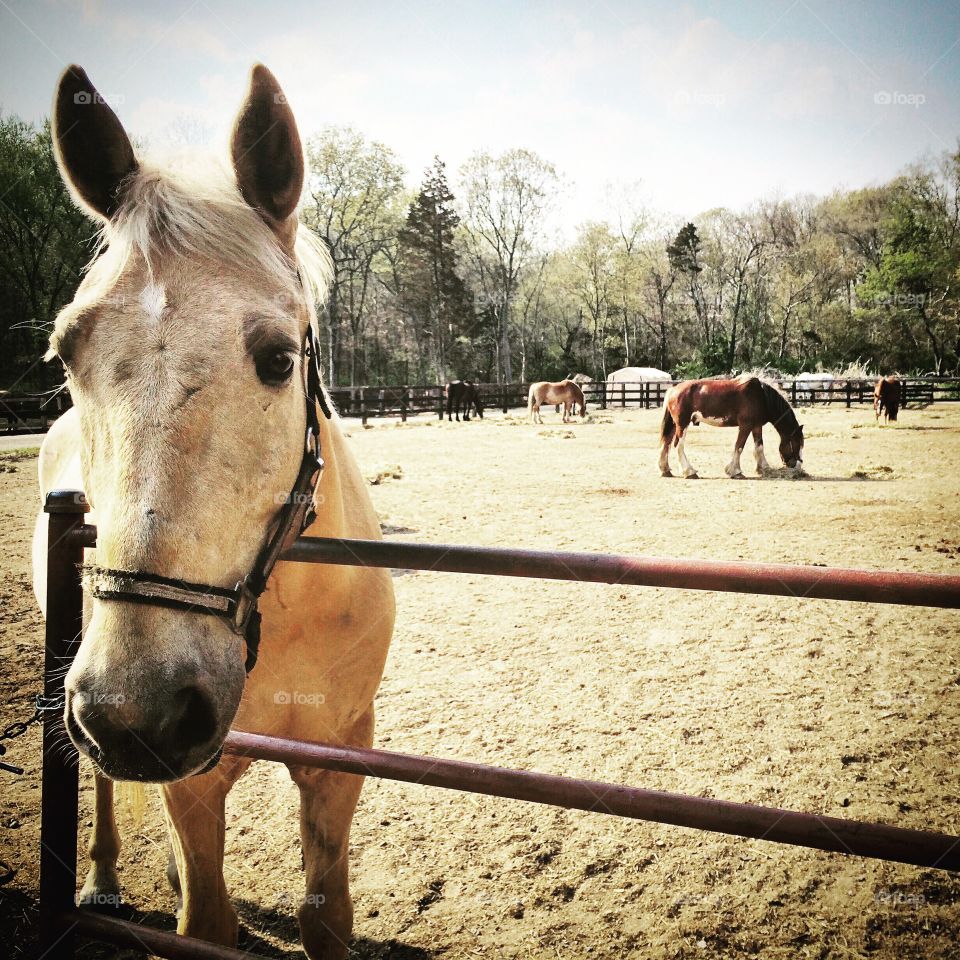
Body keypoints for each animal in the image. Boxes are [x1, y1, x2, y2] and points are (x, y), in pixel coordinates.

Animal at [32, 63, 394, 956]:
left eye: (277, 359)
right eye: (66, 354)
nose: (136, 716)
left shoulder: (339, 757)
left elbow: (325, 916)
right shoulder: (189, 780)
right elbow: (205, 919)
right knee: (100, 788)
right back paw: (101, 878)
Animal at [660, 376, 804, 480]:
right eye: (797, 443)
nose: (797, 465)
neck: (761, 397)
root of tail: (672, 390)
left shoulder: (756, 426)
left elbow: (759, 446)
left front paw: (764, 468)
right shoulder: (745, 426)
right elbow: (739, 447)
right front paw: (735, 471)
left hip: (674, 424)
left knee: (666, 443)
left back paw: (665, 470)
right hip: (682, 425)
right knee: (678, 445)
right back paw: (689, 472)